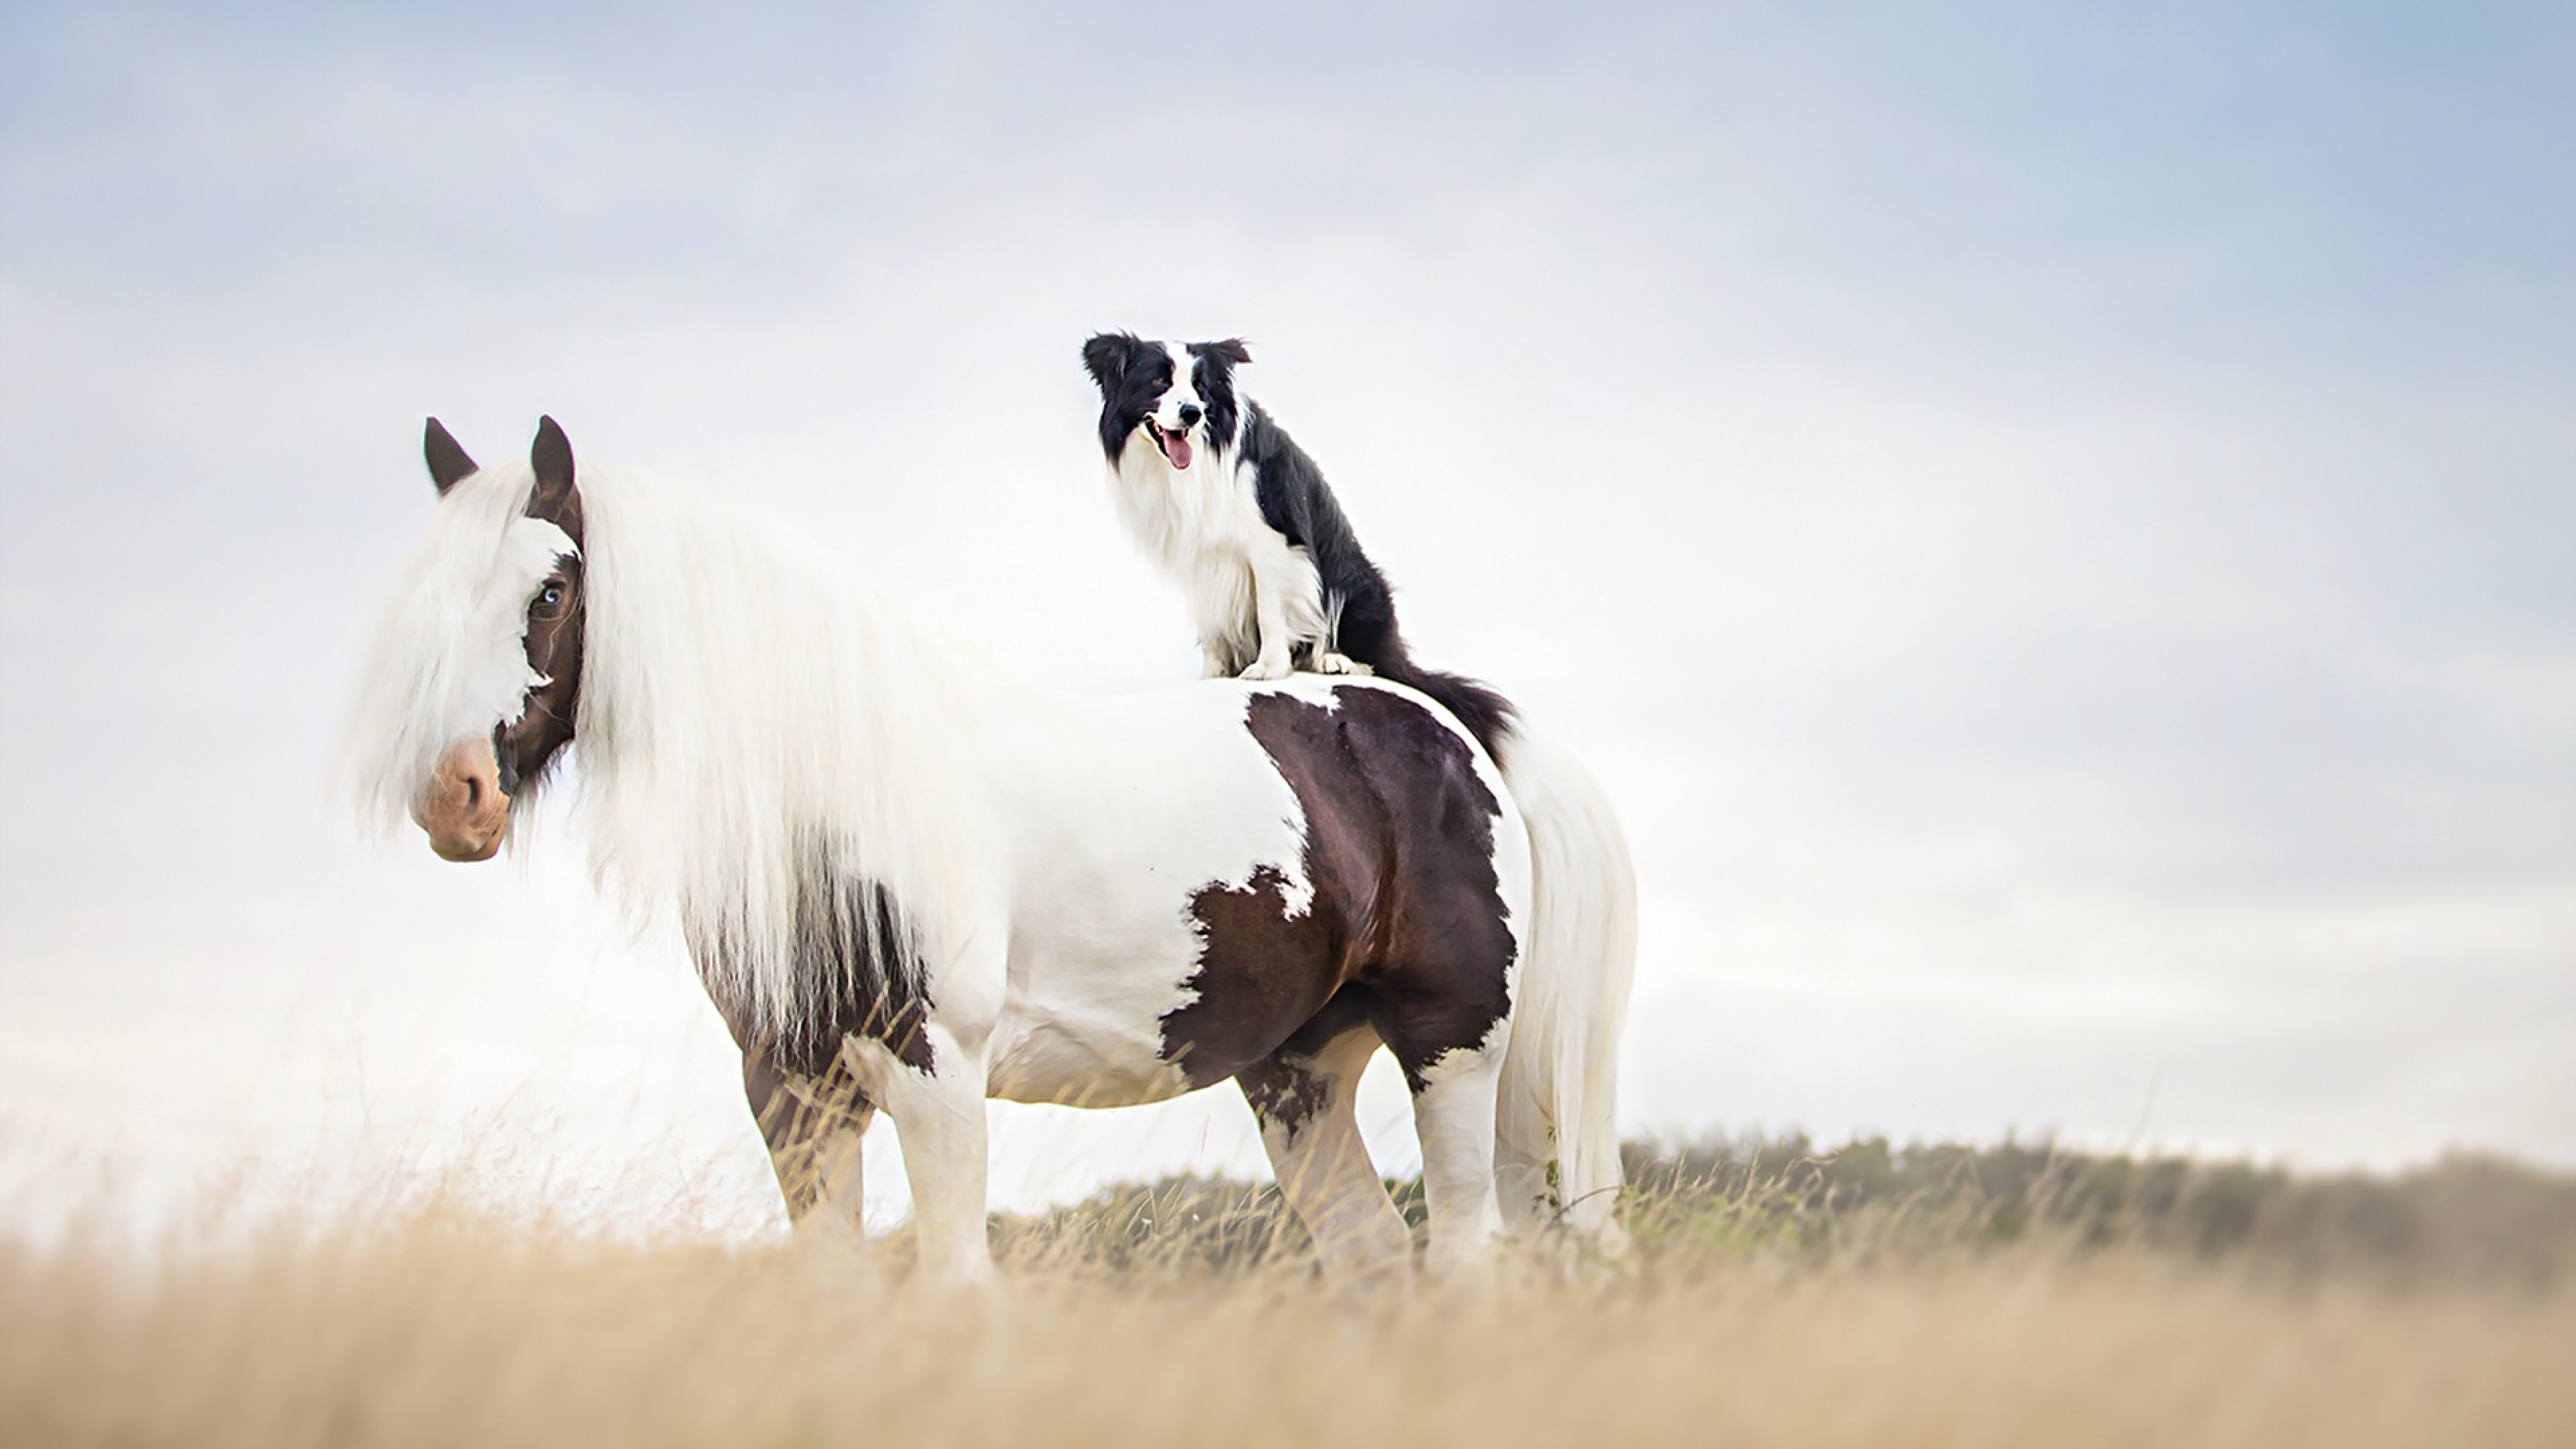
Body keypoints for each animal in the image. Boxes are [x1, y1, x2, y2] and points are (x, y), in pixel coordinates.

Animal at [340, 416, 1637, 1280]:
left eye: (551, 592)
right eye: (433, 597)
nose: (455, 795)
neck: (843, 780)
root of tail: (1423, 712)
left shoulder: (935, 1077)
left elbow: (957, 1294)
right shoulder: (791, 1092)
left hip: (1450, 1054)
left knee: (1460, 1266)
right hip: (1300, 1078)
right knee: (1372, 1267)